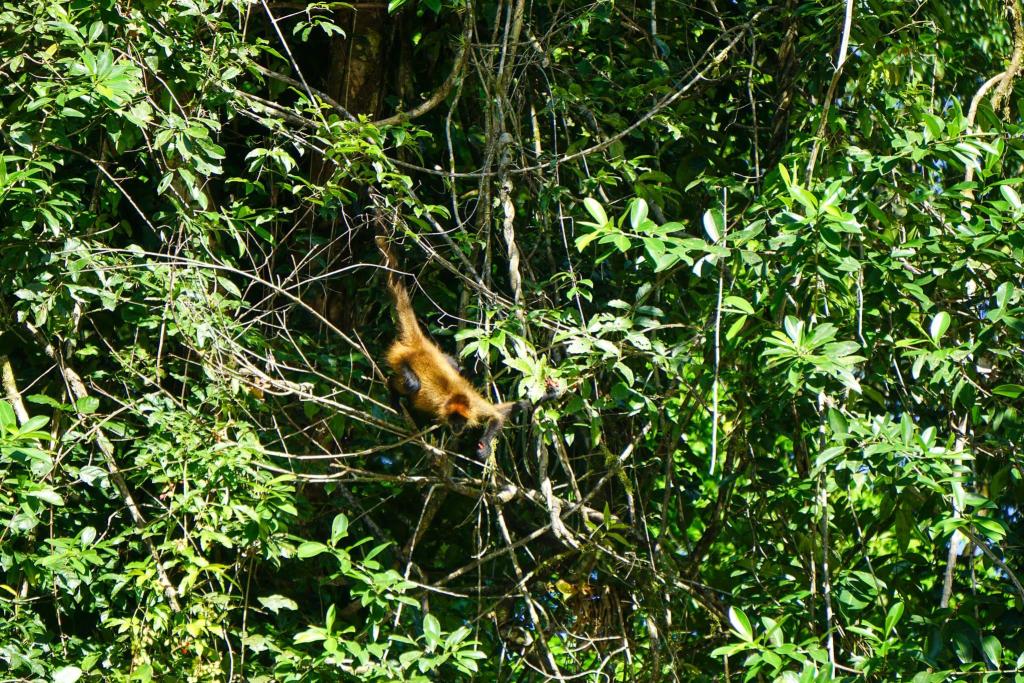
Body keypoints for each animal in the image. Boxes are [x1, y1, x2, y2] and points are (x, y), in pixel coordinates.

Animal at [376, 237, 559, 459]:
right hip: (400, 356)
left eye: (460, 421)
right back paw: (393, 389)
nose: (456, 428)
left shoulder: (475, 406)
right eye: (453, 421)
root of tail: (419, 346)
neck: (456, 398)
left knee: (453, 367)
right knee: (410, 383)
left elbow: (500, 413)